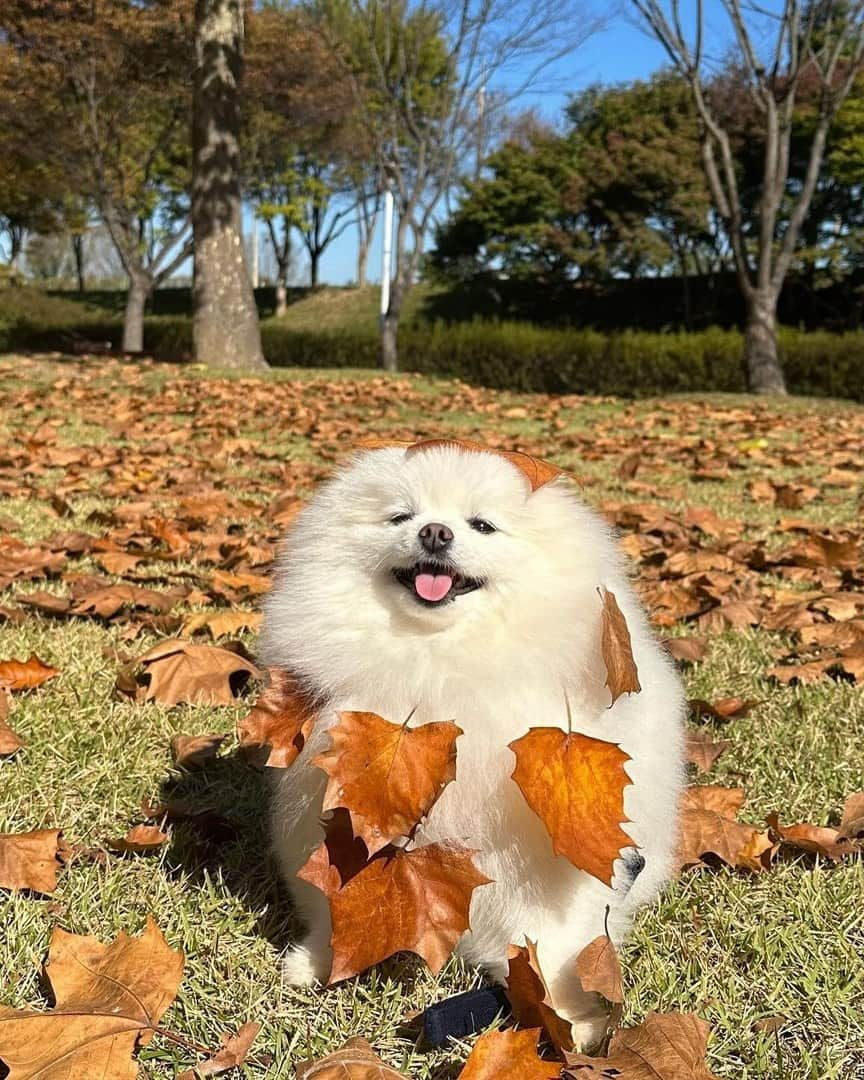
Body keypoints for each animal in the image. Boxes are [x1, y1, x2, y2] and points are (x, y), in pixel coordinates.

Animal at [260, 438, 686, 1045]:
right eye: (401, 516)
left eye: (482, 525)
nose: (435, 532)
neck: (440, 663)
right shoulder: (336, 816)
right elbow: (333, 897)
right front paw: (321, 957)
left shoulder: (558, 852)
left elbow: (555, 939)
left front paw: (566, 1013)